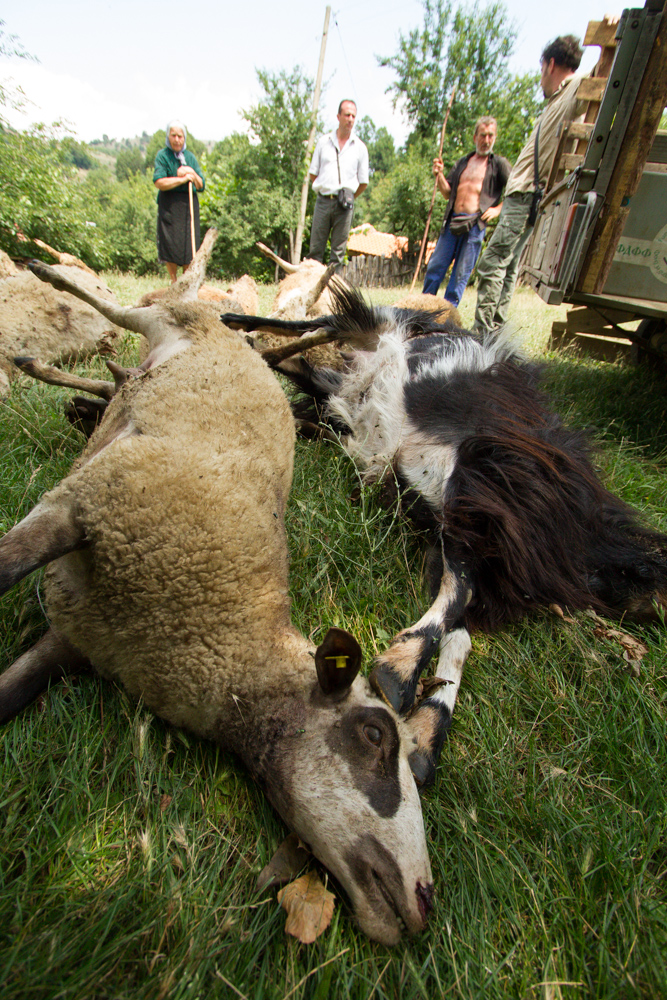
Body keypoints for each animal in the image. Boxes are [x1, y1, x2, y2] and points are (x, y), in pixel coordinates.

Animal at [0, 233, 436, 946]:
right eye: (376, 736)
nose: (424, 901)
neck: (222, 629)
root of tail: (237, 346)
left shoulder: (73, 641)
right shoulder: (87, 504)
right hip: (169, 325)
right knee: (138, 304)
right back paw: (42, 292)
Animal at [226, 286, 667, 787]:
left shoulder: (467, 521)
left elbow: (461, 621)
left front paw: (422, 721)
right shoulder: (482, 495)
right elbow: (461, 601)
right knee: (318, 330)